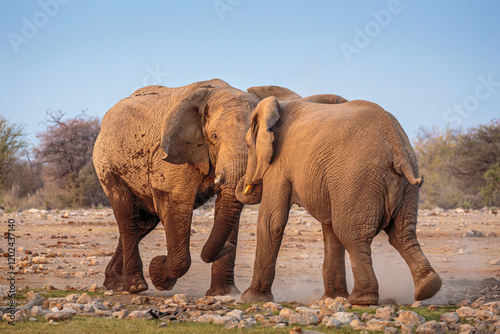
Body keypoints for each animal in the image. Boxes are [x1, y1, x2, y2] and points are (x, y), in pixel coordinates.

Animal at [237, 95, 442, 304]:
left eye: (248, 146)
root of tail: (395, 143)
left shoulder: (279, 164)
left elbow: (271, 221)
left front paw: (251, 298)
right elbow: (330, 230)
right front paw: (334, 297)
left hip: (357, 179)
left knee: (352, 235)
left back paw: (361, 299)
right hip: (406, 185)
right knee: (402, 234)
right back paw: (427, 287)